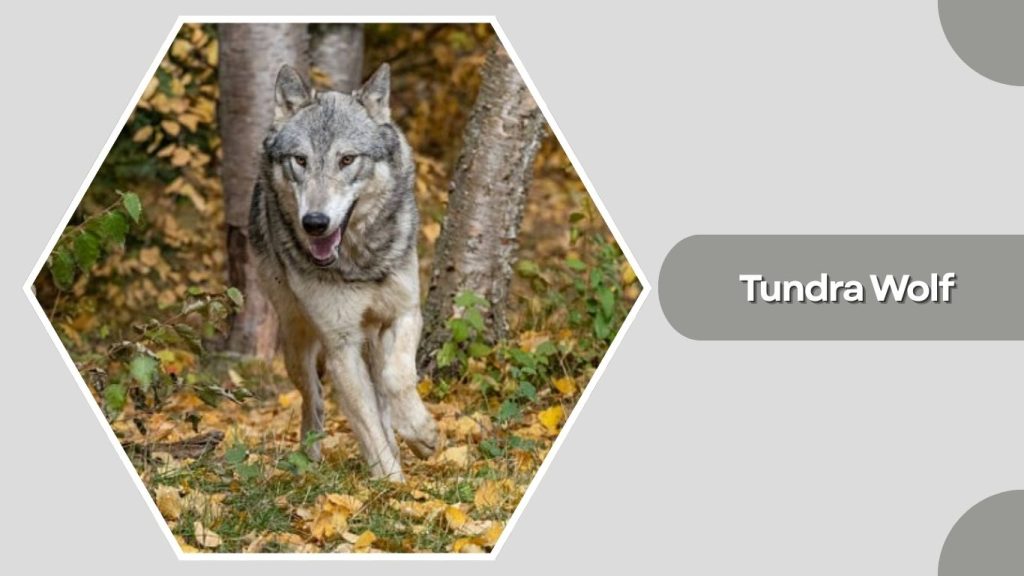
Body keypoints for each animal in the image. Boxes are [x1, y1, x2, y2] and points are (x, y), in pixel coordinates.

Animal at [248, 63, 438, 481]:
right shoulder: (341, 344)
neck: (359, 261)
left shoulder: (406, 312)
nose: (315, 223)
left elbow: (398, 379)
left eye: (347, 160)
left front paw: (420, 433)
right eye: (300, 160)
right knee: (315, 398)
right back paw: (308, 458)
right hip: (296, 341)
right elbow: (366, 425)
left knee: (381, 394)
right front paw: (393, 486)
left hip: (372, 338)